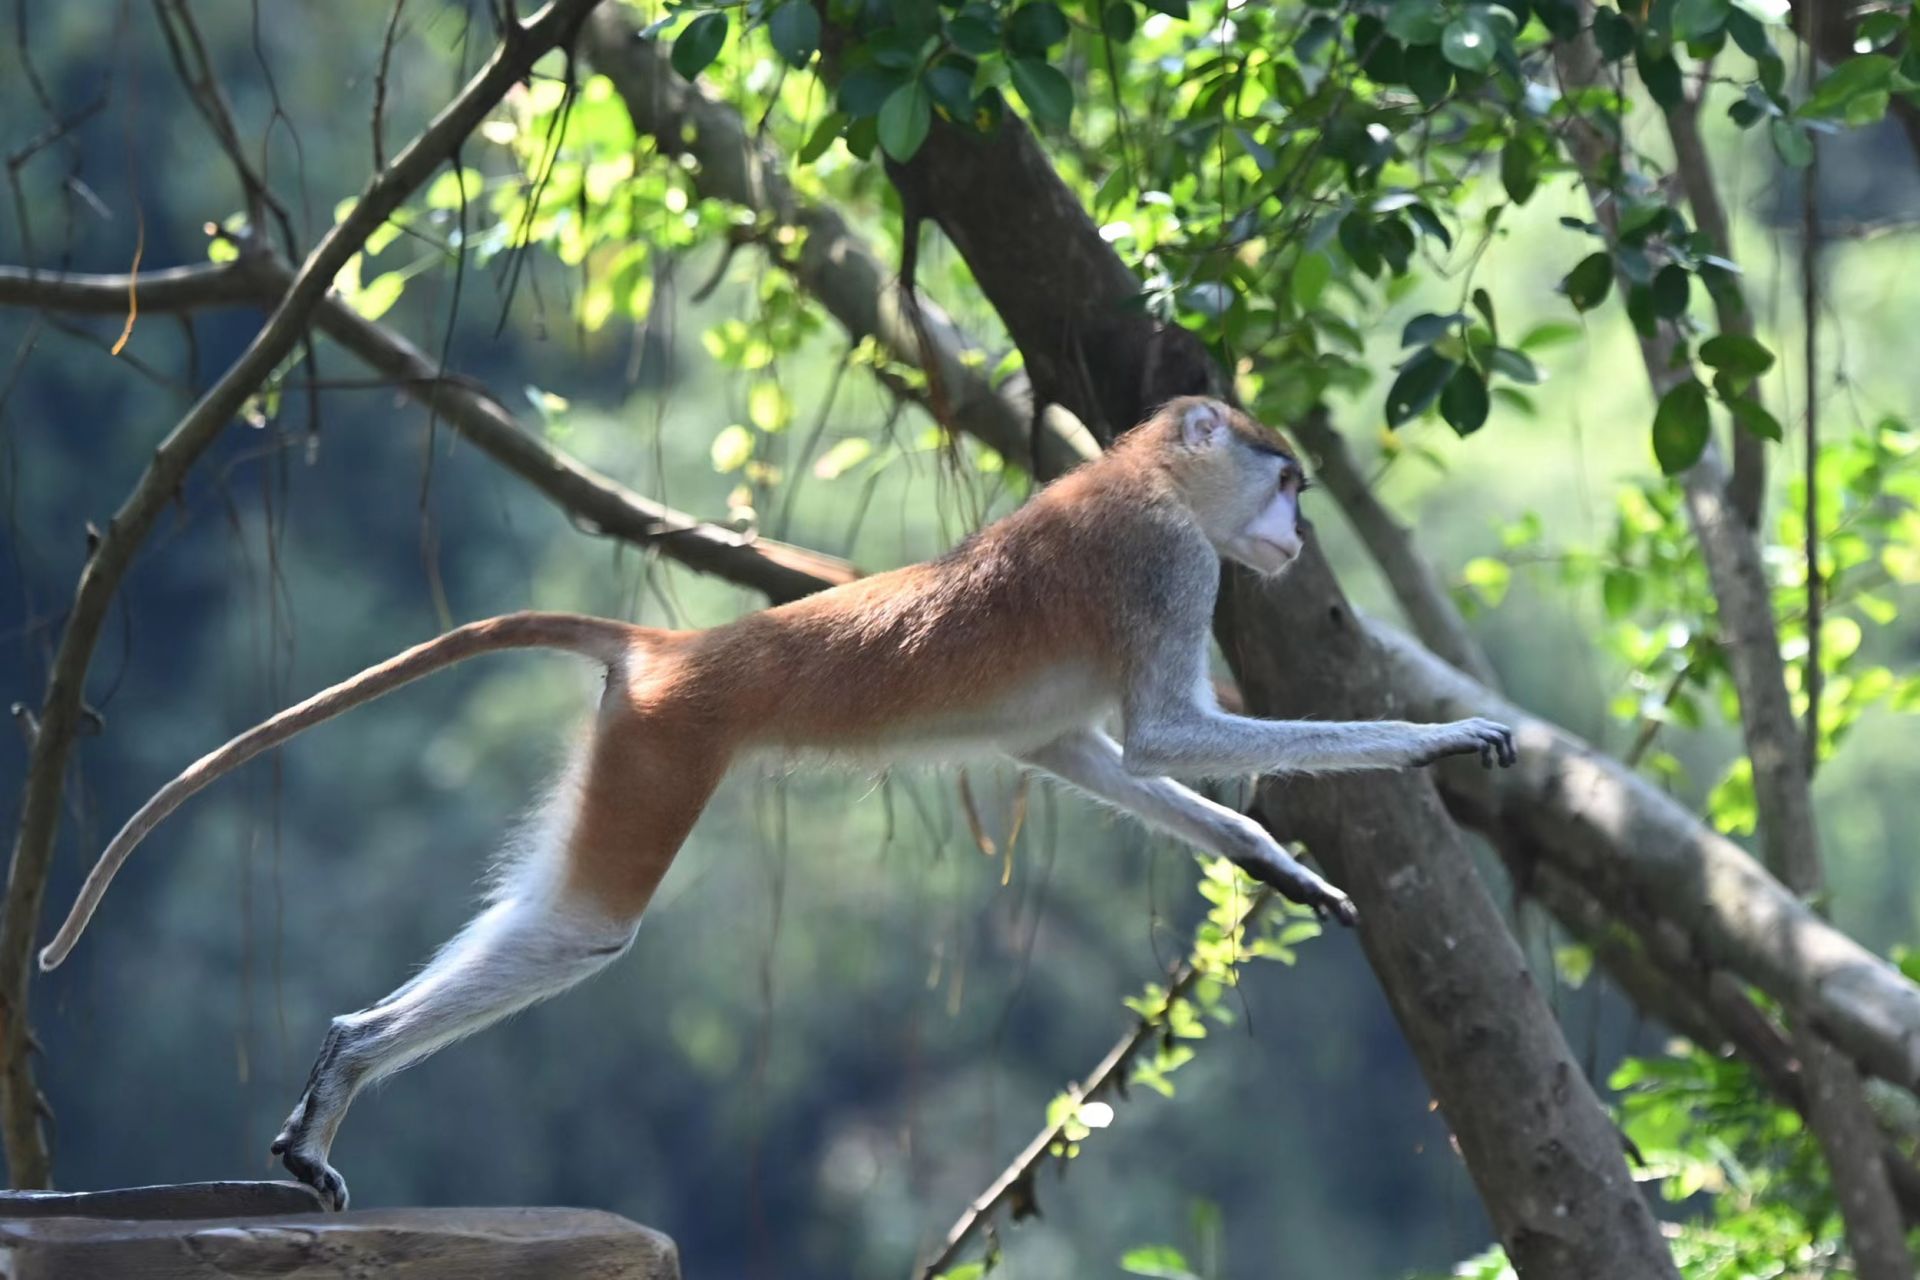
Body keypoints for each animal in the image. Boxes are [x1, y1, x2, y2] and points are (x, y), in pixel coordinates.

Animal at [33, 401, 1512, 1212]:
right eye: (1285, 478)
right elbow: (1164, 732)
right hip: (664, 748)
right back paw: (349, 1062)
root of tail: (676, 648)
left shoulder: (1082, 693)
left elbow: (1085, 753)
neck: (1146, 475)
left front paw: (1282, 867)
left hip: (637, 743)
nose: (1297, 534)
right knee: (584, 928)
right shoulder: (1162, 568)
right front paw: (1440, 736)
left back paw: (339, 1063)